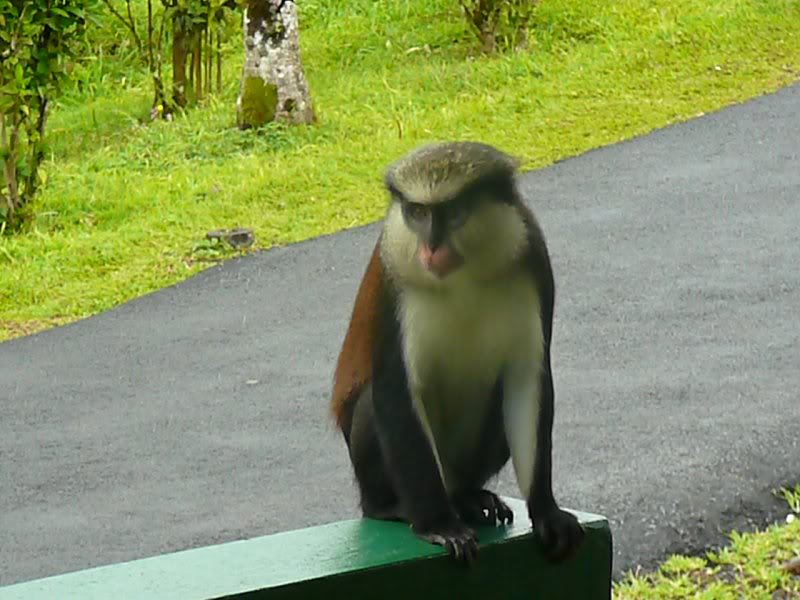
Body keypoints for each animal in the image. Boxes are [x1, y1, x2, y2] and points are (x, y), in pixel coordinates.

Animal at [330, 141, 584, 564]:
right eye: (417, 212)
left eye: (452, 212)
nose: (432, 249)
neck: (464, 276)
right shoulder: (392, 289)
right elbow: (396, 390)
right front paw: (438, 525)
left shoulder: (533, 261)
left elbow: (526, 382)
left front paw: (546, 511)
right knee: (370, 405)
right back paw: (394, 507)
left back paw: (469, 498)